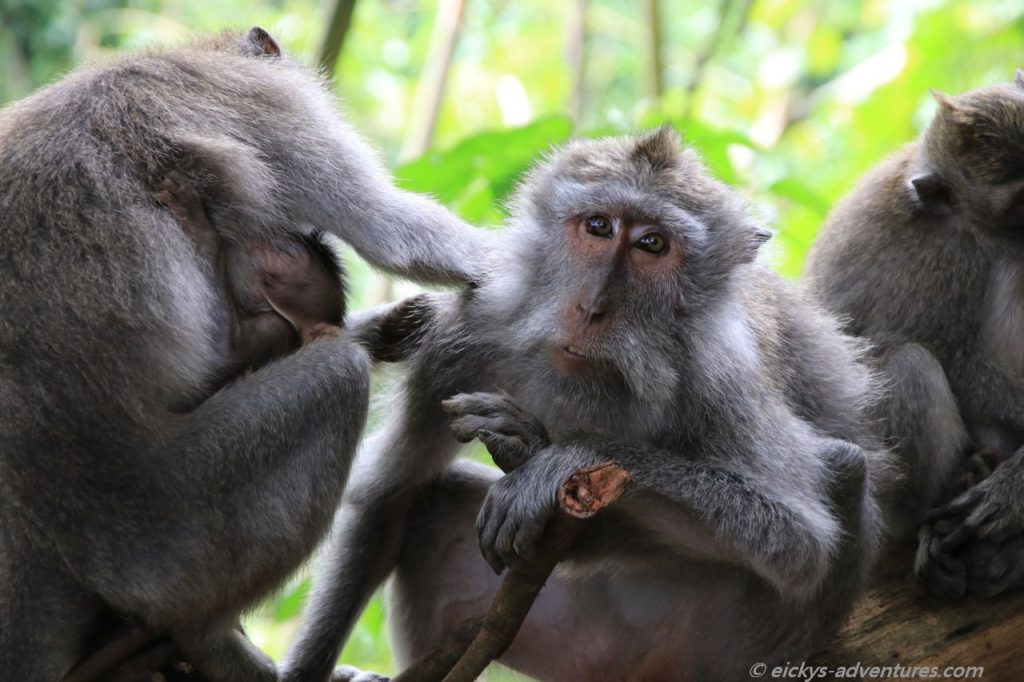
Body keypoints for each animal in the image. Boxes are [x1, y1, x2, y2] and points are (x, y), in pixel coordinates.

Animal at [0, 27, 492, 682]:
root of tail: (37, 534)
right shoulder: (272, 107)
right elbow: (391, 230)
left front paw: (388, 327)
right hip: (168, 527)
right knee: (336, 379)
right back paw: (212, 642)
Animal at [280, 127, 892, 682]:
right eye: (599, 227)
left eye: (652, 244)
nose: (593, 306)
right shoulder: (465, 335)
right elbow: (393, 488)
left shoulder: (724, 377)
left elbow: (794, 540)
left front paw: (554, 456)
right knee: (432, 504)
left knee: (843, 466)